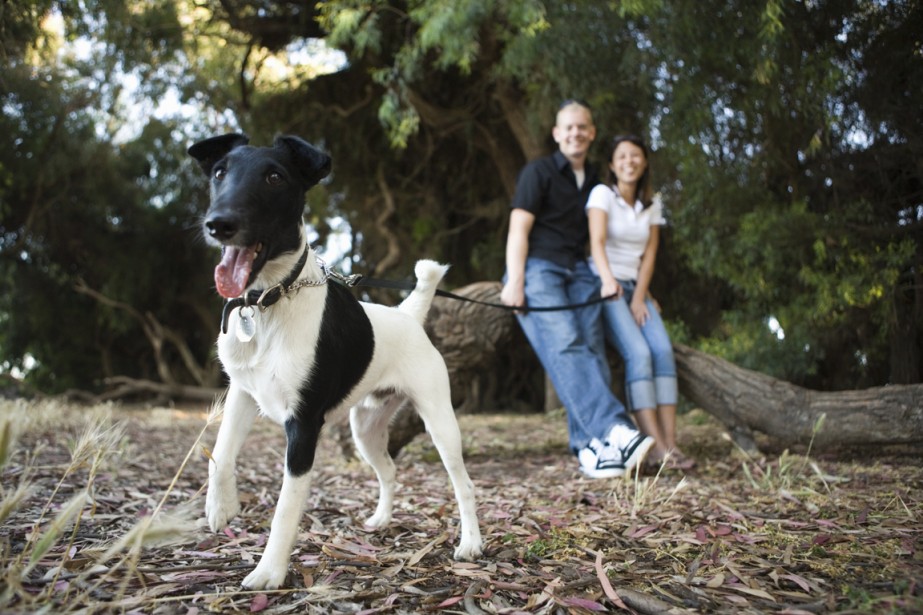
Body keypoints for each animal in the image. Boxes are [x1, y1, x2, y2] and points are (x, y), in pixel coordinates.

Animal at [191, 134, 488, 588]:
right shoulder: (242, 391)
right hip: (365, 429)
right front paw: (220, 508)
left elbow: (285, 509)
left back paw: (470, 543)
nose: (218, 223)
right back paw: (382, 519)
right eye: (219, 172)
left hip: (440, 423)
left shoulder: (303, 426)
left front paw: (269, 571)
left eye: (275, 177)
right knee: (389, 471)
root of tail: (407, 314)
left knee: (464, 484)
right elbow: (220, 455)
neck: (269, 303)